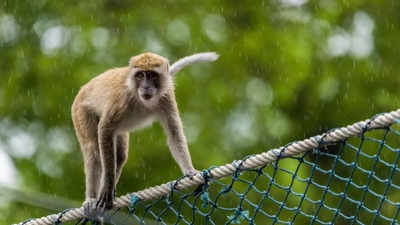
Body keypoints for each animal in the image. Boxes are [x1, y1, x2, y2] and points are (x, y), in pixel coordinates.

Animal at [70, 51, 217, 216]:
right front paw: (107, 187)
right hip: (80, 110)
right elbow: (105, 129)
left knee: (119, 155)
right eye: (140, 75)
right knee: (93, 148)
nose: (146, 86)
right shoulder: (122, 99)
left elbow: (174, 133)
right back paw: (91, 199)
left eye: (152, 75)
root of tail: (83, 89)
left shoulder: (166, 96)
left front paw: (190, 172)